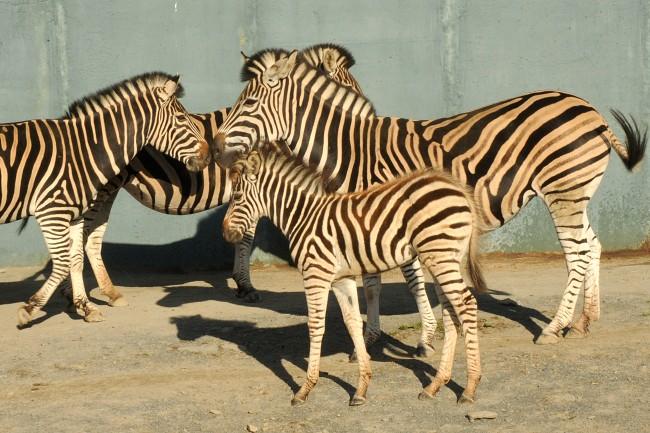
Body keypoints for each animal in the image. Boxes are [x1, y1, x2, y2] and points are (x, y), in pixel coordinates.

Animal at [0, 72, 210, 326]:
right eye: (181, 118)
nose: (208, 155)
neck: (82, 152)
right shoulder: (52, 212)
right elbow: (62, 263)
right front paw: (29, 309)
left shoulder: (75, 214)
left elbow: (76, 258)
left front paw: (85, 307)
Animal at [213, 48, 644, 344]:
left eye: (248, 103)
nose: (215, 148)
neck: (353, 149)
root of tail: (589, 109)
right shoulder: (366, 219)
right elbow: (372, 281)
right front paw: (372, 335)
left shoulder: (394, 214)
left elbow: (411, 277)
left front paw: (427, 334)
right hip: (575, 193)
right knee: (592, 245)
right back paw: (585, 320)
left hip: (562, 189)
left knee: (577, 252)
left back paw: (555, 327)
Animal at [220, 147, 484, 406]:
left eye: (237, 196)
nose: (225, 234)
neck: (304, 216)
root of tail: (456, 187)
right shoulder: (341, 279)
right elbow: (353, 323)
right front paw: (361, 388)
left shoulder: (315, 274)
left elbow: (316, 326)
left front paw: (305, 389)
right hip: (444, 257)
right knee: (450, 312)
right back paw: (435, 385)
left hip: (440, 255)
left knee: (467, 304)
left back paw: (470, 388)